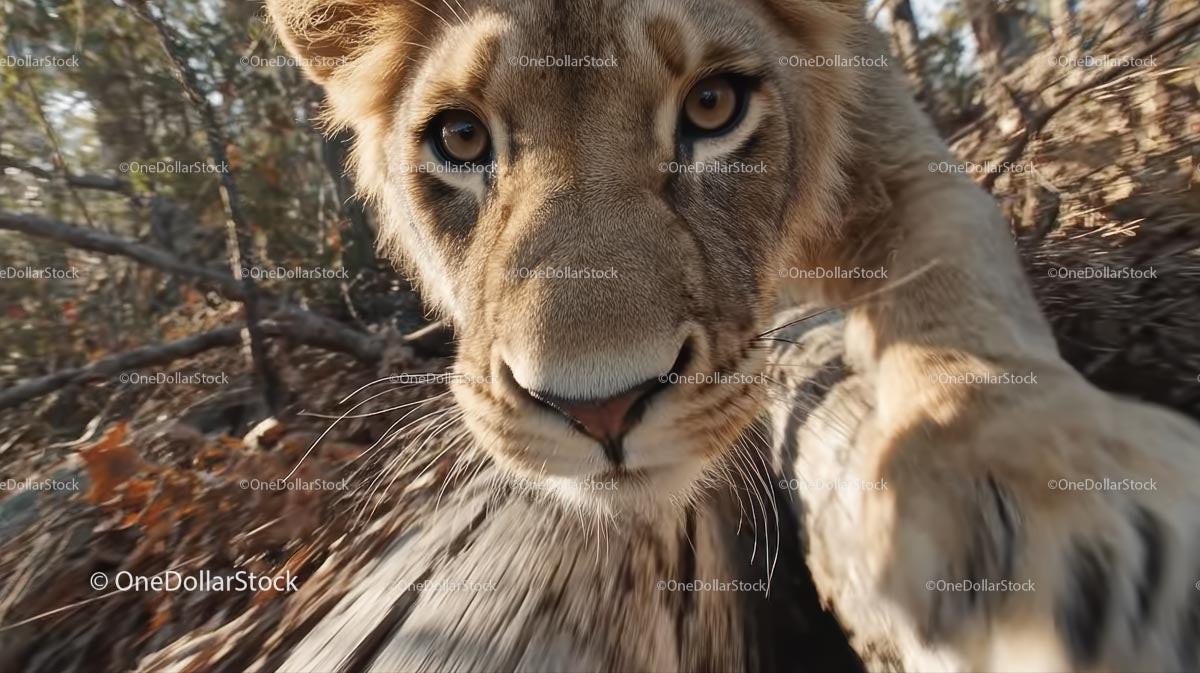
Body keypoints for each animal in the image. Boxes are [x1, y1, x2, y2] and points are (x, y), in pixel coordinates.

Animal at [266, 0, 1200, 670]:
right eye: (461, 137)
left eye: (713, 106)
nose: (601, 410)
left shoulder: (899, 163)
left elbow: (959, 294)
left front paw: (1061, 512)